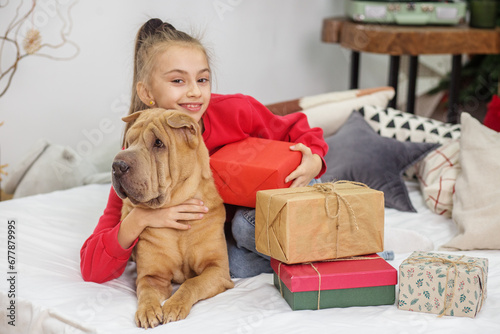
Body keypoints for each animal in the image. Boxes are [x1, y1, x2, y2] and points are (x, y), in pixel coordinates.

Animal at [112, 108, 233, 328]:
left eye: (158, 143)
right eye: (129, 141)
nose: (117, 165)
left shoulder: (218, 270)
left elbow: (191, 283)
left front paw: (174, 306)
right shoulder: (152, 276)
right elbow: (146, 292)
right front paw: (148, 310)